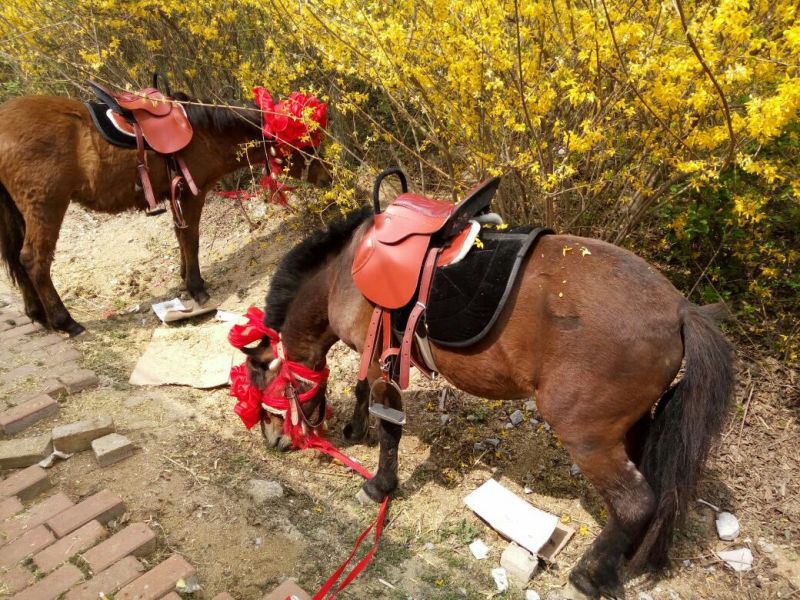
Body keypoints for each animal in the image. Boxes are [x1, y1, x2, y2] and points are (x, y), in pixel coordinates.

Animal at [0, 92, 330, 336]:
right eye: (305, 143)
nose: (329, 177)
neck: (204, 133)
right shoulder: (192, 193)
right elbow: (191, 238)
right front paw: (196, 288)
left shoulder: (178, 196)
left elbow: (180, 236)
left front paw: (186, 278)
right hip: (46, 206)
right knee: (34, 260)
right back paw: (65, 321)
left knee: (19, 258)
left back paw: (38, 315)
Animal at [237, 206, 735, 599]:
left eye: (260, 375)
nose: (273, 440)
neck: (347, 271)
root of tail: (681, 310)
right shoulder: (372, 358)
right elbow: (362, 395)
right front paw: (355, 431)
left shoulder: (382, 364)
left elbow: (390, 427)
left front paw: (379, 485)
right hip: (630, 428)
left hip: (587, 435)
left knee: (635, 502)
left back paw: (589, 577)